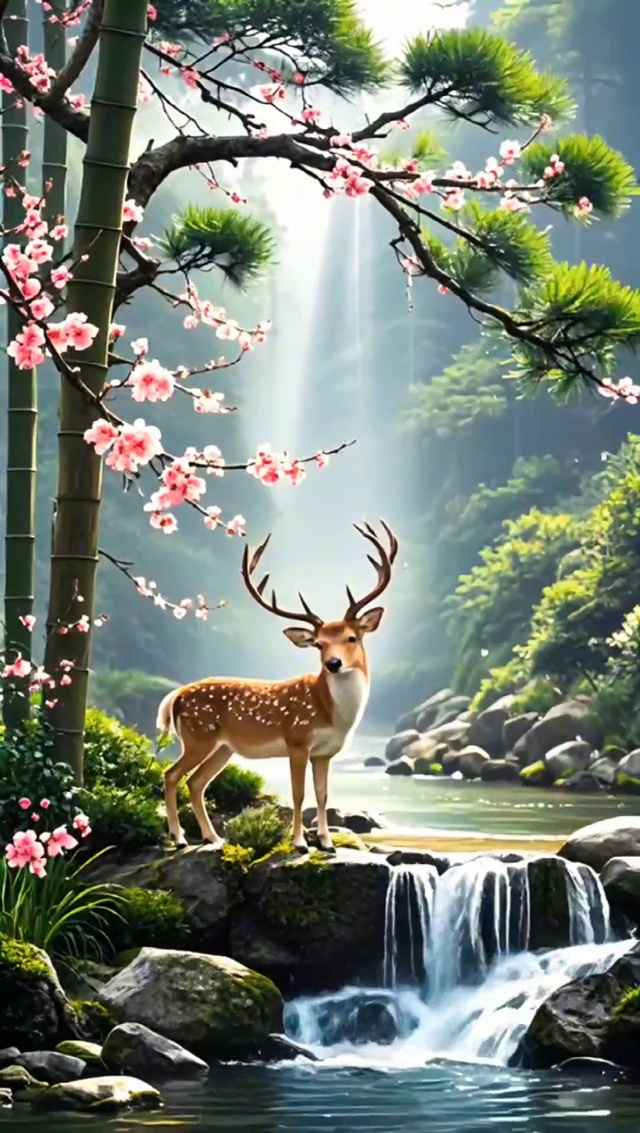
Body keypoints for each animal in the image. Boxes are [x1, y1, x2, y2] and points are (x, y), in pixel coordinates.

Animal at [156, 520, 397, 854]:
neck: (332, 712)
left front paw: (327, 843)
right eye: (319, 644)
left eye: (352, 637)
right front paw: (299, 843)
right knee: (171, 774)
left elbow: (322, 794)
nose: (333, 663)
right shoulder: (297, 740)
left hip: (223, 747)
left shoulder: (325, 753)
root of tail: (175, 696)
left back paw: (213, 838)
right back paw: (179, 838)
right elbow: (299, 794)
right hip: (197, 736)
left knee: (196, 782)